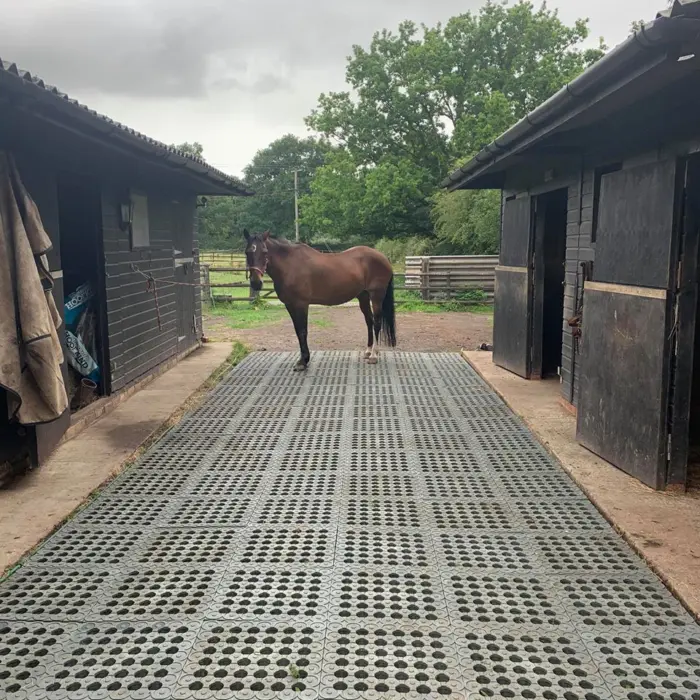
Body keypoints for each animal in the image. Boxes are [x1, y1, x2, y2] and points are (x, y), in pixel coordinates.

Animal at [243, 230, 396, 371]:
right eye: (247, 252)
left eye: (265, 252)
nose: (256, 283)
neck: (290, 265)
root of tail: (384, 258)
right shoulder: (290, 305)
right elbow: (297, 331)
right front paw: (303, 360)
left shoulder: (301, 304)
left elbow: (302, 331)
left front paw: (303, 361)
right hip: (363, 296)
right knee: (369, 321)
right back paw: (368, 351)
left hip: (376, 296)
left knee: (377, 323)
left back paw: (374, 355)